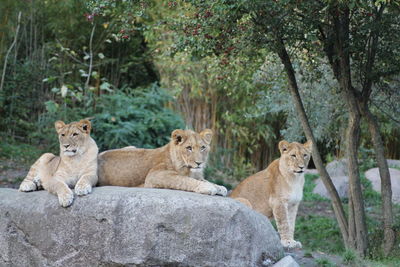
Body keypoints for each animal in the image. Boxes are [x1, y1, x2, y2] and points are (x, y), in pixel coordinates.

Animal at [97, 129, 228, 197]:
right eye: (189, 148)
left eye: (203, 148)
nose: (199, 163)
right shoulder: (155, 175)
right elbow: (184, 180)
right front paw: (208, 187)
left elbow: (204, 180)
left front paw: (220, 187)